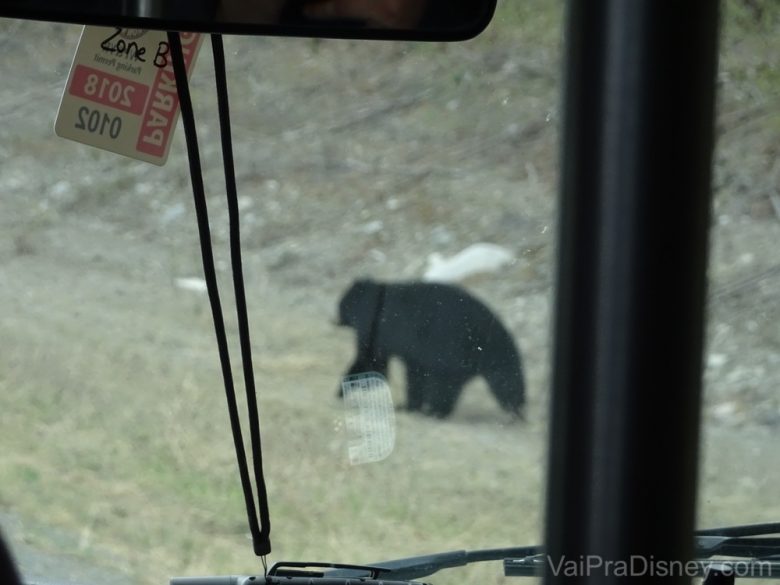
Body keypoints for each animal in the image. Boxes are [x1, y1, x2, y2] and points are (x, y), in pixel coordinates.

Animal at [336, 278, 524, 418]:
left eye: (340, 305)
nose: (334, 319)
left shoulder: (377, 331)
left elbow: (369, 360)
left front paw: (342, 389)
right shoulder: (414, 355)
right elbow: (413, 374)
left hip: (452, 351)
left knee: (444, 385)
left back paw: (435, 412)